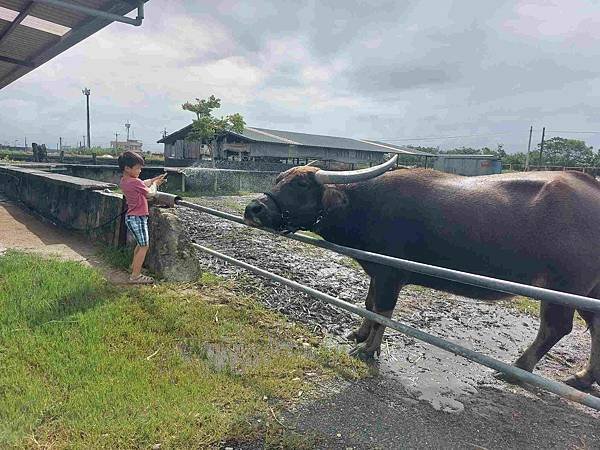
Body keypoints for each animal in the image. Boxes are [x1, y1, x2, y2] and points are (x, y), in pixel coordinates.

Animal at [243, 156, 600, 388]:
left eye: (301, 184)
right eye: (278, 179)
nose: (253, 209)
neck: (364, 204)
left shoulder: (390, 274)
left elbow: (383, 312)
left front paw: (368, 350)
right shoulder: (376, 272)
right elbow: (369, 305)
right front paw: (359, 334)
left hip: (563, 289)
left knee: (556, 328)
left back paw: (516, 369)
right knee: (594, 326)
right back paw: (583, 379)